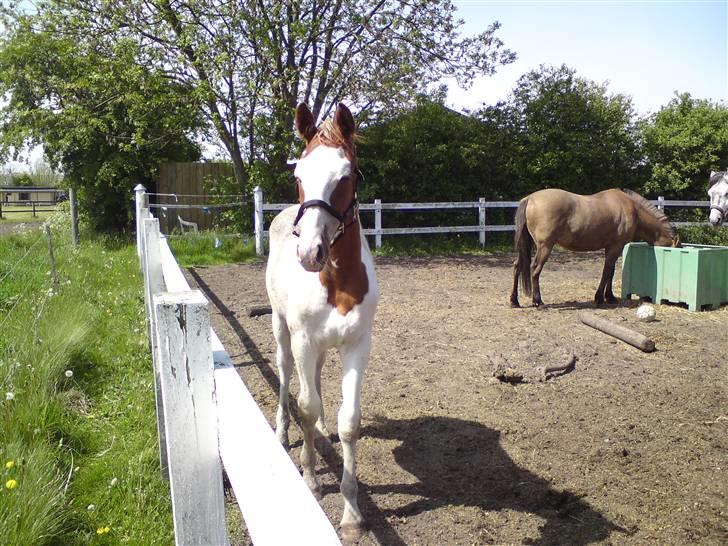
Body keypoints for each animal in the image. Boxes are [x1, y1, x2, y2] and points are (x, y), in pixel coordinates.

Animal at [268, 102, 382, 540]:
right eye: (298, 175)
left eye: (346, 176)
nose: (310, 253)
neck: (337, 282)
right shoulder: (302, 338)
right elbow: (306, 405)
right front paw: (311, 478)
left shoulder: (357, 345)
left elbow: (348, 421)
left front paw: (351, 515)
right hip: (283, 332)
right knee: (287, 377)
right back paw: (284, 433)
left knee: (313, 380)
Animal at [512, 187, 676, 306]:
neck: (632, 209)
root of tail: (530, 199)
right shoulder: (615, 247)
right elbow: (607, 272)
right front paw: (600, 298)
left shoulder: (611, 248)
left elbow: (611, 272)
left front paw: (610, 297)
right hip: (545, 246)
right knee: (535, 269)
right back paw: (537, 301)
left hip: (528, 246)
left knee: (518, 266)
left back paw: (514, 301)